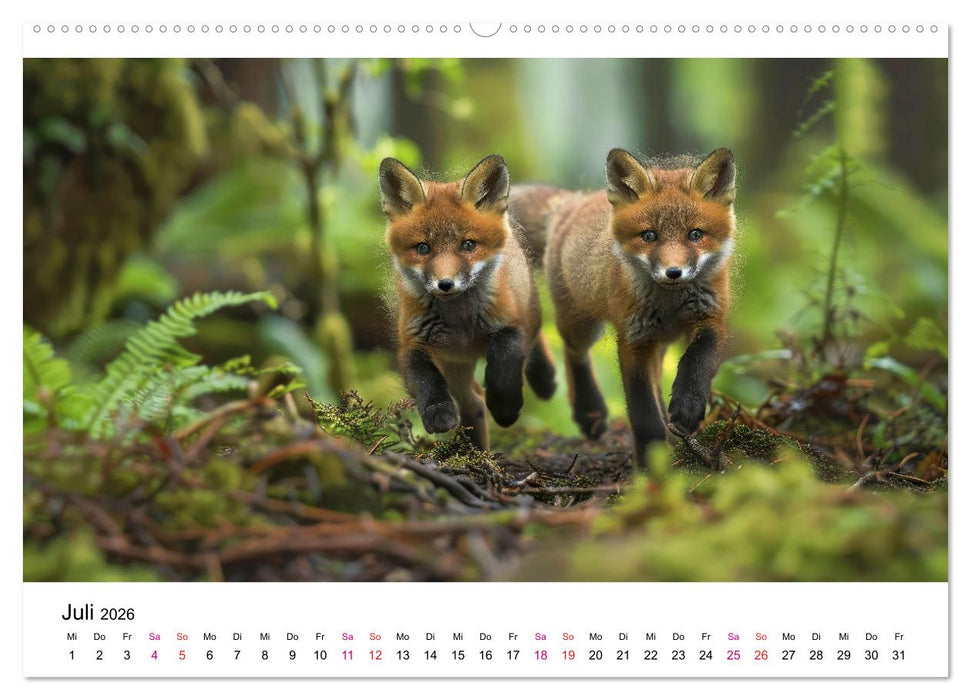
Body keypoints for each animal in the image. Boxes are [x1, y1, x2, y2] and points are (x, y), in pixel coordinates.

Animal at [379, 154, 558, 451]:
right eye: (423, 248)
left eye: (468, 245)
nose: (445, 284)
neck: (460, 323)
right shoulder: (411, 342)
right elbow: (425, 379)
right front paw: (438, 413)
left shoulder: (509, 322)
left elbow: (505, 362)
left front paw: (505, 408)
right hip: (455, 368)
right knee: (472, 402)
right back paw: (475, 450)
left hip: (528, 308)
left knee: (535, 337)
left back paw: (544, 378)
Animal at [509, 147, 737, 467]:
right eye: (649, 236)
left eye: (695, 234)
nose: (673, 272)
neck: (670, 305)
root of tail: (575, 201)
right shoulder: (633, 339)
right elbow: (643, 411)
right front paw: (651, 462)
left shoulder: (710, 319)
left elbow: (698, 361)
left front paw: (687, 408)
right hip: (580, 324)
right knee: (571, 351)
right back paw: (585, 408)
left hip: (656, 343)